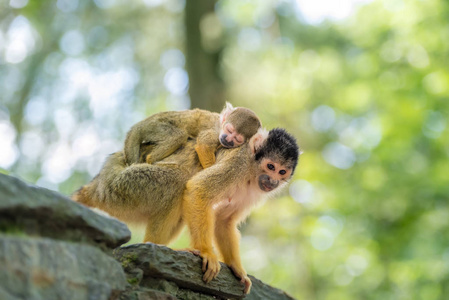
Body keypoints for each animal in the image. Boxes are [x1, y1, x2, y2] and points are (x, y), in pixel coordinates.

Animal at [124, 102, 260, 169]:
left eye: (236, 139)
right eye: (229, 130)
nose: (227, 139)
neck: (220, 125)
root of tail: (141, 124)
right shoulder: (215, 133)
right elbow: (203, 146)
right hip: (154, 126)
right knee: (178, 136)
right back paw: (151, 160)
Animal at [182, 127, 298, 294]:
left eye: (282, 172)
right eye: (271, 167)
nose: (273, 181)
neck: (251, 171)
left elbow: (223, 220)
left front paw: (236, 268)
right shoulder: (238, 164)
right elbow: (199, 189)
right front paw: (205, 252)